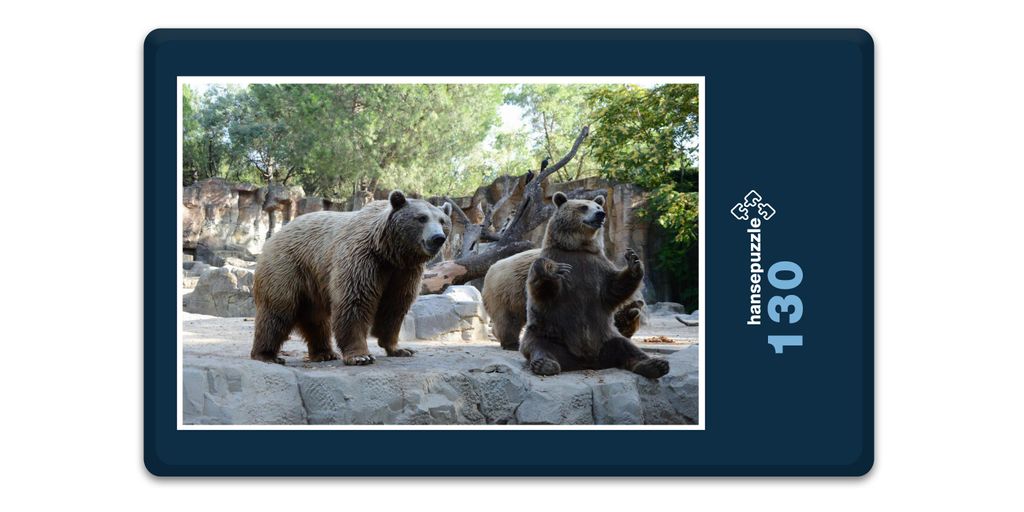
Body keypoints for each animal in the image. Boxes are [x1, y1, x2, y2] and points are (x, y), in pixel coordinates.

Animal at [250, 190, 452, 366]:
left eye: (442, 221)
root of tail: (275, 235)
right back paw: (267, 355)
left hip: (313, 281)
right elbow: (355, 301)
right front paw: (361, 356)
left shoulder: (404, 272)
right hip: (287, 267)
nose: (438, 237)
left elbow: (395, 307)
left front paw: (400, 349)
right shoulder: (362, 259)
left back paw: (324, 353)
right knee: (277, 311)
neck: (389, 251)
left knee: (316, 319)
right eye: (422, 218)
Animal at [483, 247, 645, 351]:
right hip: (509, 292)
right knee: (509, 319)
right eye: (624, 330)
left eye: (629, 333)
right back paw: (511, 344)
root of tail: (490, 270)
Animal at [518, 191, 669, 378]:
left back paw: (655, 364)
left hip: (606, 337)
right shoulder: (558, 258)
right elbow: (544, 291)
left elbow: (613, 288)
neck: (578, 247)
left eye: (598, 206)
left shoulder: (597, 266)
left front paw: (634, 261)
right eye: (583, 207)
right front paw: (551, 269)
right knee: (539, 346)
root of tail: (587, 362)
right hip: (548, 333)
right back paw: (545, 364)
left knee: (626, 347)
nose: (600, 214)